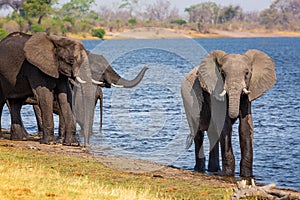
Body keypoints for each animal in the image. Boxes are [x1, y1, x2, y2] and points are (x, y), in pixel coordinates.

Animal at [180, 49, 276, 177]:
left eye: (247, 73)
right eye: (222, 73)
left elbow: (245, 127)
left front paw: (246, 176)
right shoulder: (215, 92)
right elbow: (224, 124)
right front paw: (228, 175)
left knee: (213, 134)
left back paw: (214, 170)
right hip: (188, 101)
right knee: (198, 133)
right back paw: (200, 169)